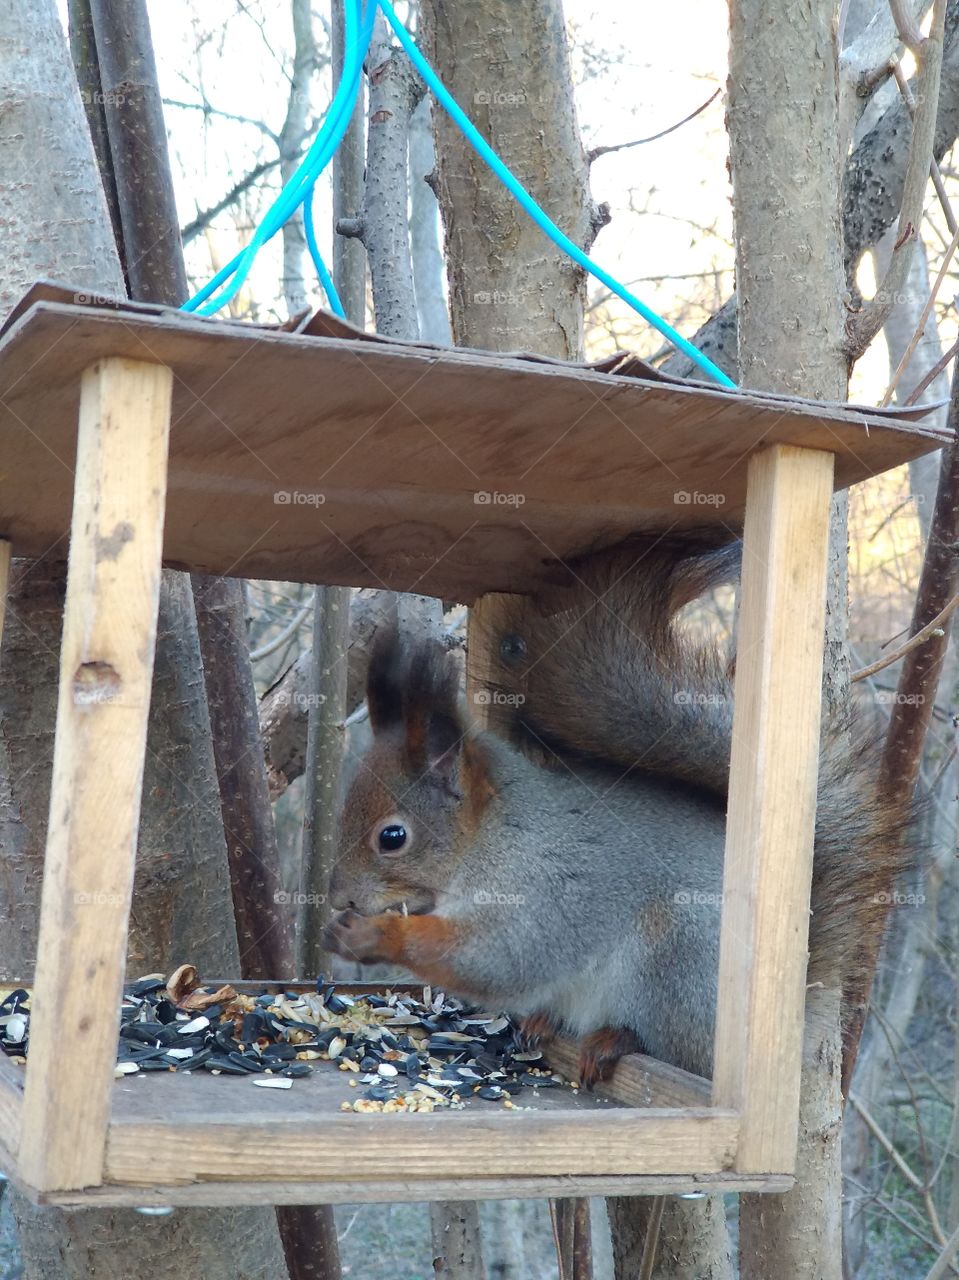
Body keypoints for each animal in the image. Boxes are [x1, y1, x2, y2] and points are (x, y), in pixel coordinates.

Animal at [321, 535, 911, 1085]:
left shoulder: (548, 888)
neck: (494, 835)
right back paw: (543, 1024)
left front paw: (372, 936)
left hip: (676, 961)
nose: (338, 897)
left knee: (669, 1046)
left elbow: (501, 958)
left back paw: (615, 1039)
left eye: (392, 837)